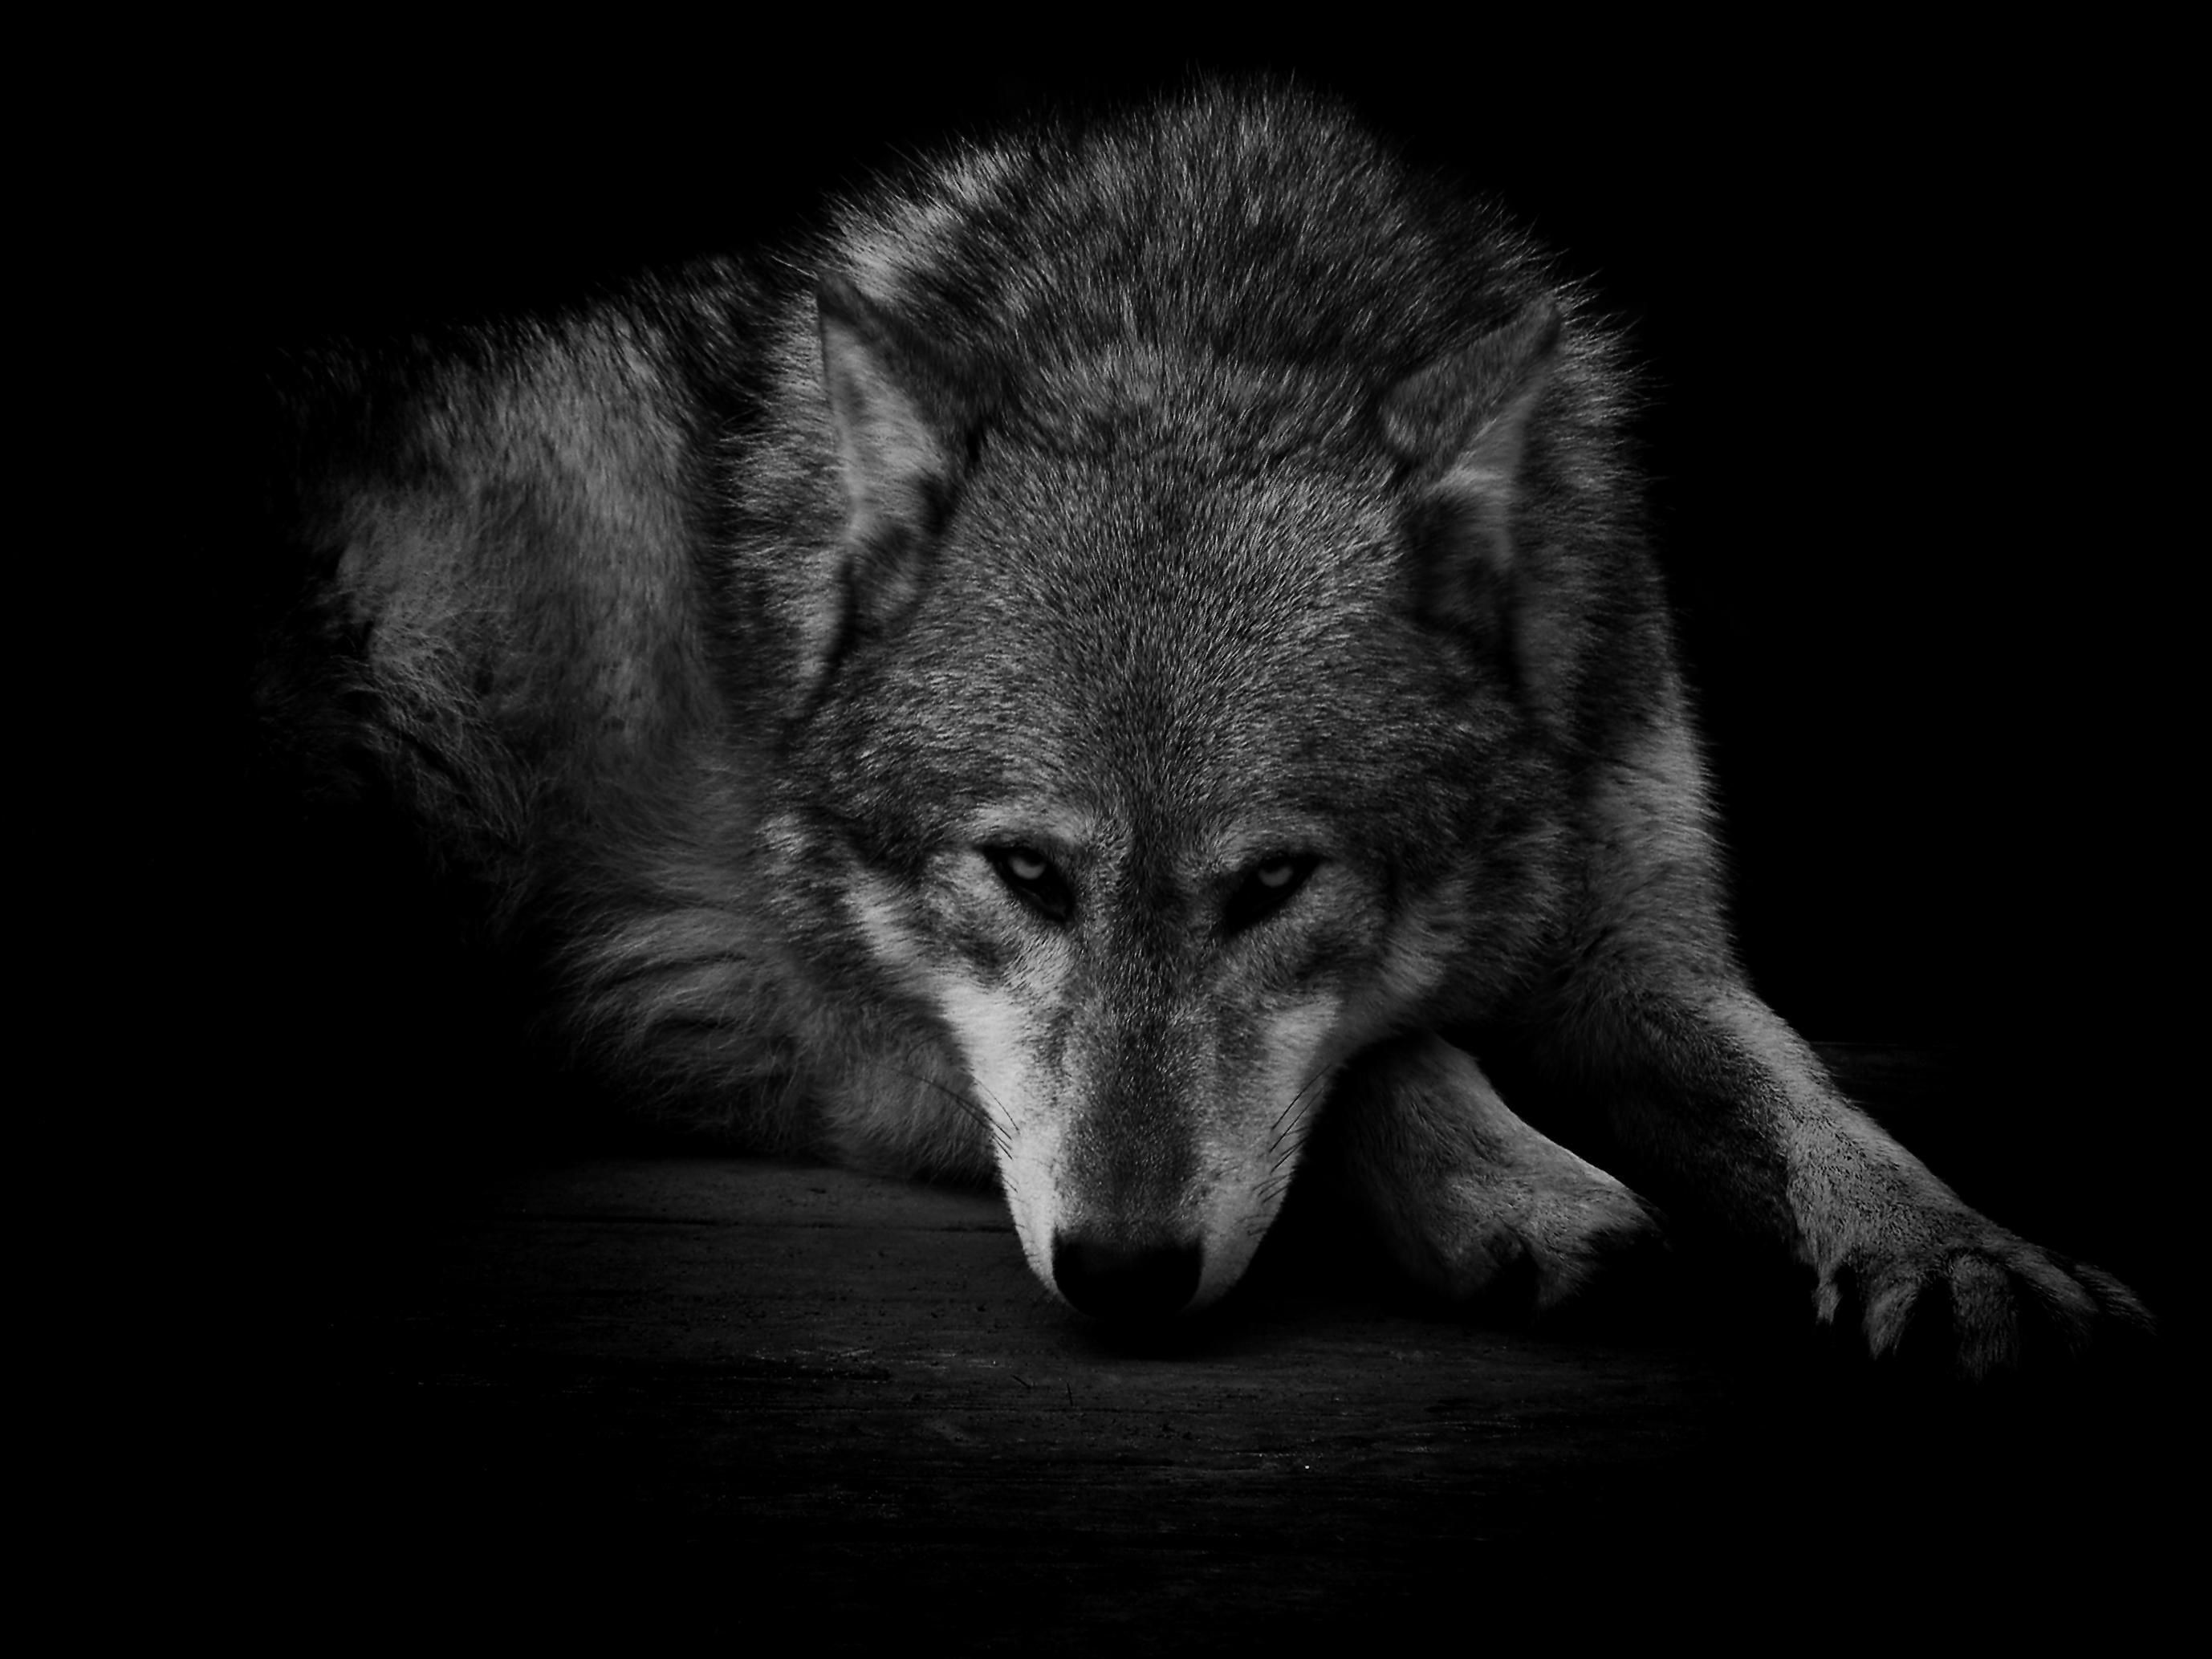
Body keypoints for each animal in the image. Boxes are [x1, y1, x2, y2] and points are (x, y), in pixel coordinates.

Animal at [260, 83, 2146, 1376]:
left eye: (1272, 887)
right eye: (1024, 873)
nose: (1119, 1272)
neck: (1202, 324)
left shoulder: (1635, 947)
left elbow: (1807, 1091)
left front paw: (1958, 1249)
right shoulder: (785, 1007)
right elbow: (1392, 1054)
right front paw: (1523, 1188)